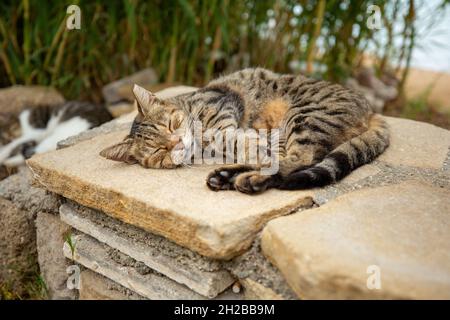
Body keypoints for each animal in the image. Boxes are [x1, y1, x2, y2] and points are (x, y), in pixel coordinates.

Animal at [100, 68, 388, 194]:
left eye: (171, 125)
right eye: (159, 151)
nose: (177, 144)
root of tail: (371, 109)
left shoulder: (225, 106)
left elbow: (233, 138)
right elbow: (244, 145)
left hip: (303, 117)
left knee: (298, 159)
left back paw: (244, 178)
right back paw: (228, 176)